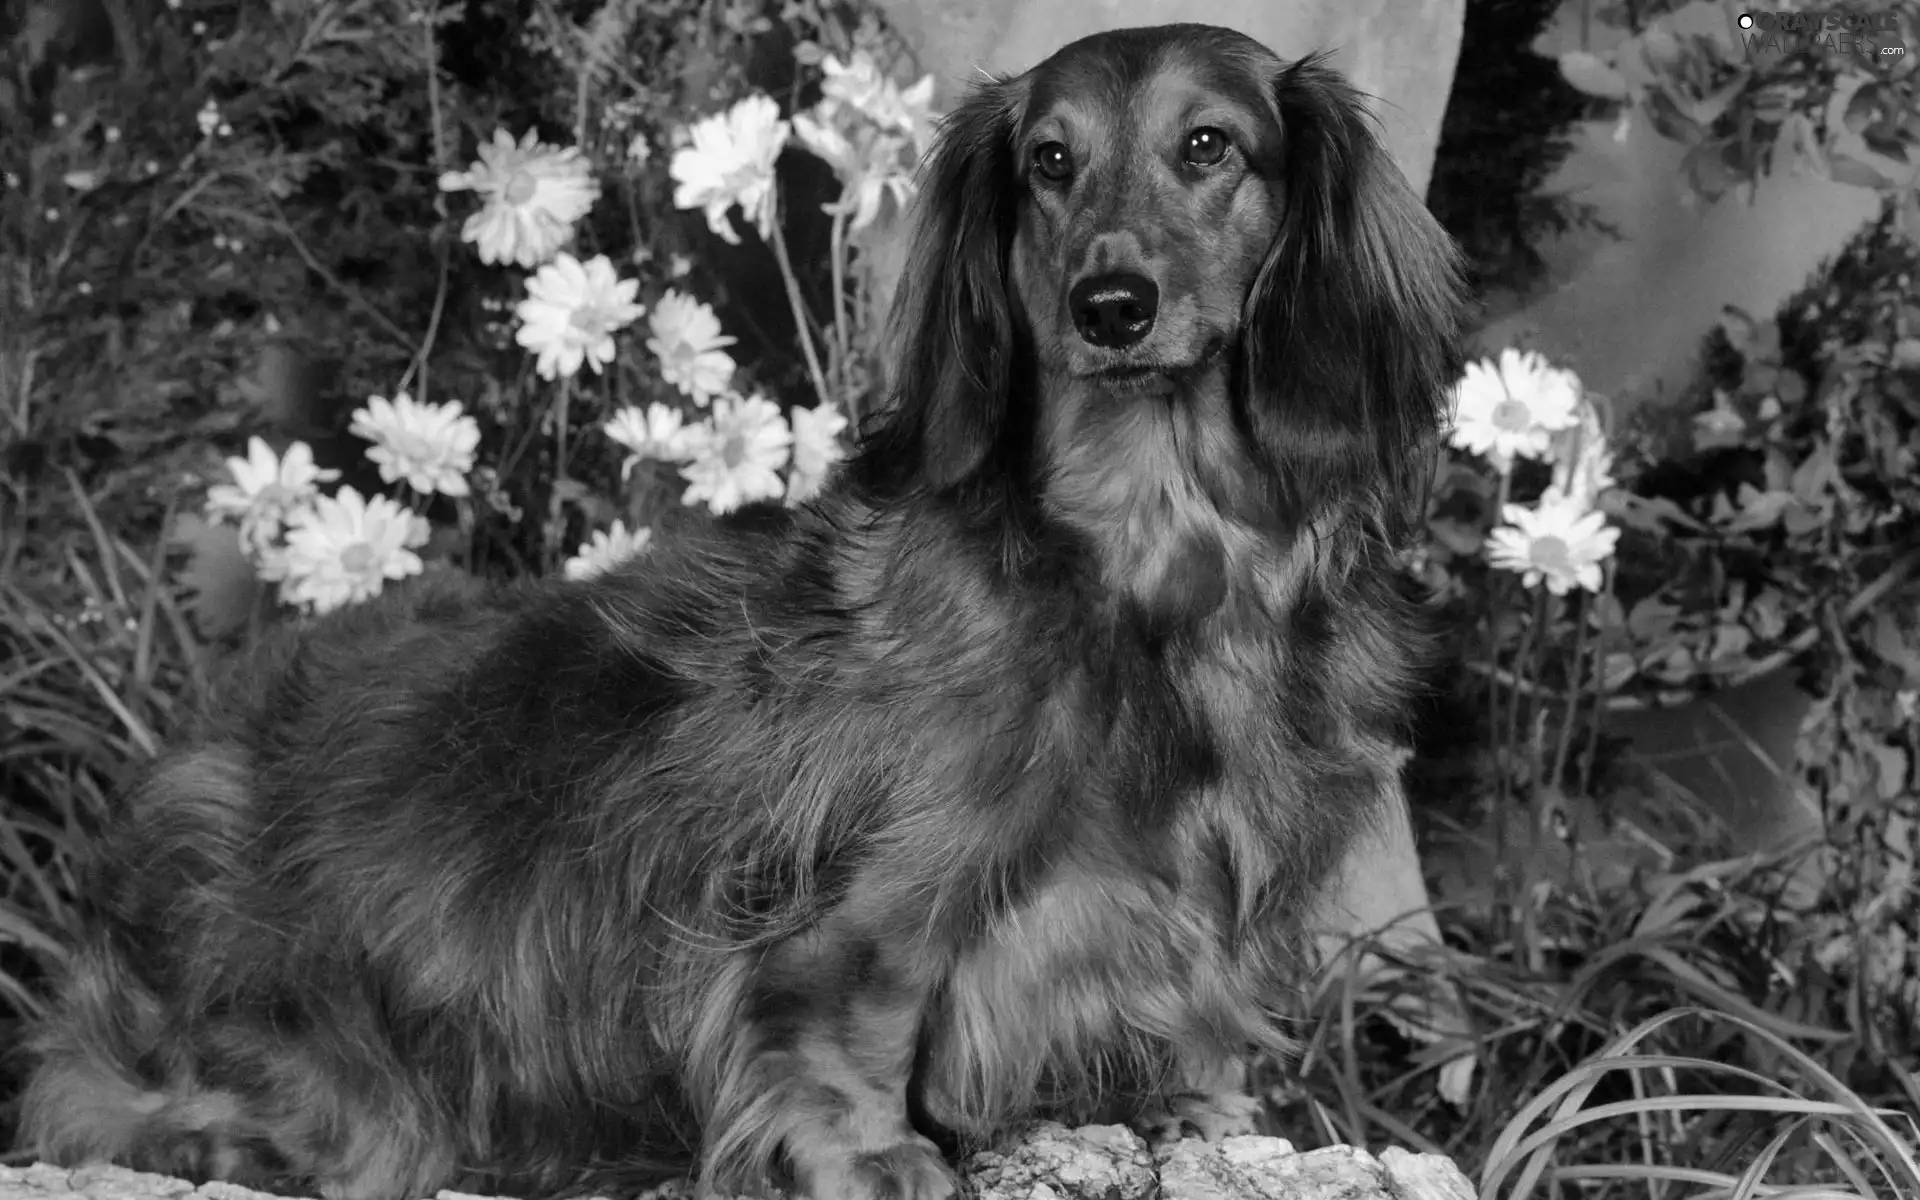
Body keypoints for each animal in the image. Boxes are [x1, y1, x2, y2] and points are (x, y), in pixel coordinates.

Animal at [15, 21, 1459, 1198]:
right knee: (95, 1102)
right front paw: (870, 1154)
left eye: (1209, 145)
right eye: (1049, 162)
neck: (1145, 561)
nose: (1109, 307)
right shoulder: (868, 886)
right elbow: (849, 1008)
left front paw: (1206, 1115)